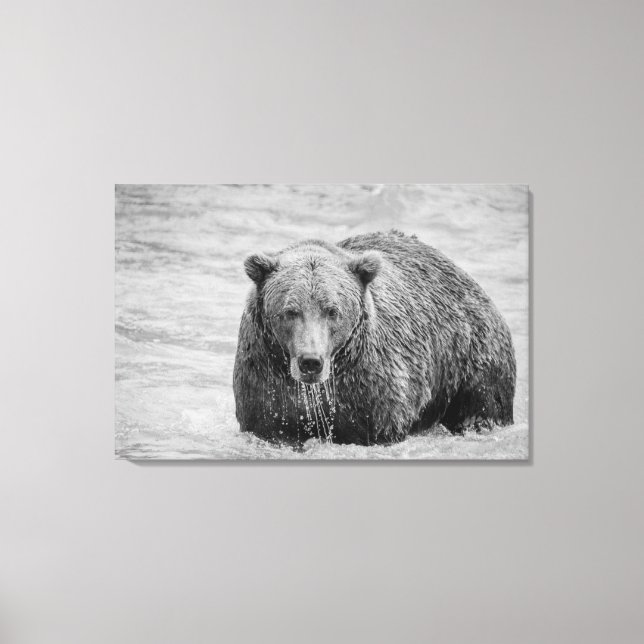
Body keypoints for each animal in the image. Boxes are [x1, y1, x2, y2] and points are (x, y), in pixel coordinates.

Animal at [233, 230, 516, 445]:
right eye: (290, 311)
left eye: (332, 310)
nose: (311, 361)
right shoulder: (266, 384)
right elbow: (269, 424)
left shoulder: (373, 390)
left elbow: (380, 425)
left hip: (472, 358)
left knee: (483, 406)